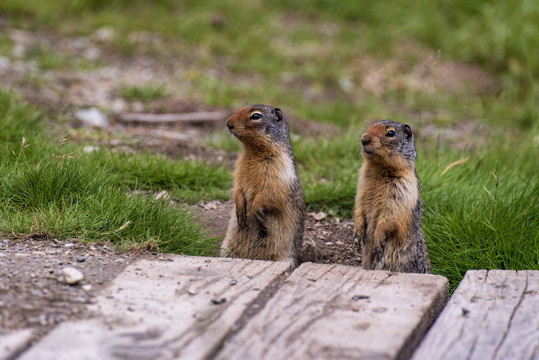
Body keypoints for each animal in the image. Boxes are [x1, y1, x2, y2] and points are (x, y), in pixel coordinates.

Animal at [219, 105, 304, 268]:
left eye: (256, 116)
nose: (228, 123)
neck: (252, 152)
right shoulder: (240, 168)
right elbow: (238, 187)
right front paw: (240, 208)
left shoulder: (277, 169)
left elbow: (270, 192)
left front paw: (256, 210)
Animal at [354, 121, 430, 272]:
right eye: (369, 126)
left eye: (390, 133)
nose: (363, 139)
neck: (379, 168)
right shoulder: (362, 184)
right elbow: (359, 204)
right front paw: (358, 232)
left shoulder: (402, 188)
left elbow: (390, 214)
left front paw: (378, 239)